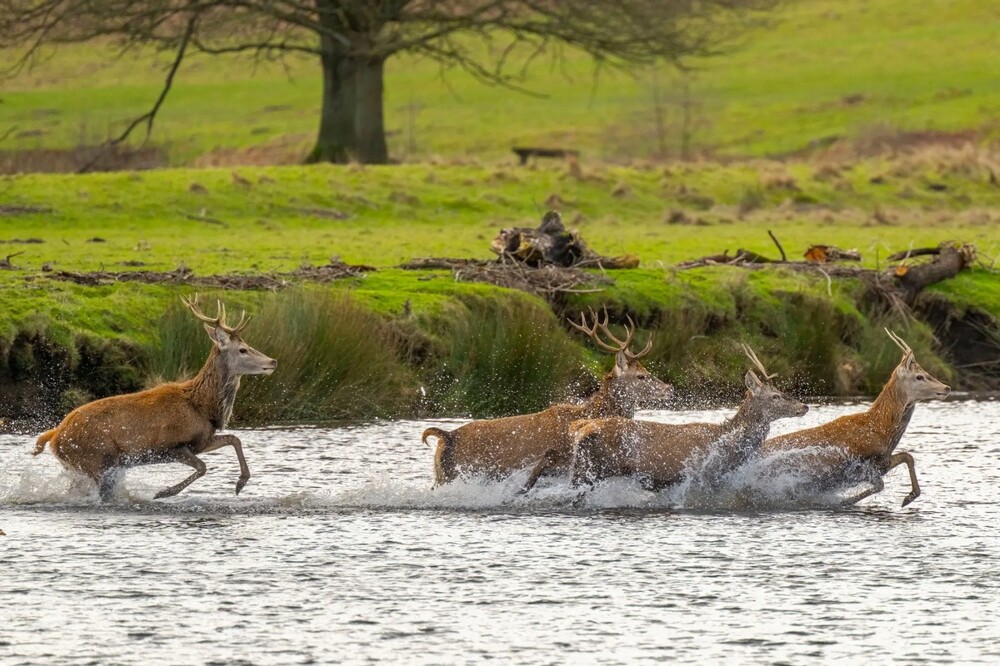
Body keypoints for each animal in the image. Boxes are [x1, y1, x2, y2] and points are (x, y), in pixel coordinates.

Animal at [32, 296, 278, 498]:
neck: (204, 407)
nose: (273, 361)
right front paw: (164, 492)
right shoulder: (169, 447)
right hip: (95, 459)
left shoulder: (201, 441)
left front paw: (241, 483)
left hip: (82, 466)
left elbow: (234, 439)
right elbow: (202, 467)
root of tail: (54, 435)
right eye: (243, 350)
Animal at [422, 308, 672, 486]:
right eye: (641, 376)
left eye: (646, 371)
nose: (669, 388)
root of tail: (445, 437)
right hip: (455, 474)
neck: (590, 414)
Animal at [564, 344, 804, 490]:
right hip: (589, 470)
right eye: (775, 396)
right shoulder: (701, 476)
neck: (727, 444)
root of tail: (579, 429)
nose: (803, 407)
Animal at [756, 326, 952, 504]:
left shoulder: (881, 462)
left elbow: (907, 457)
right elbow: (879, 485)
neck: (881, 430)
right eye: (919, 376)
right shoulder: (857, 465)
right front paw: (845, 501)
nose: (947, 387)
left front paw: (909, 497)